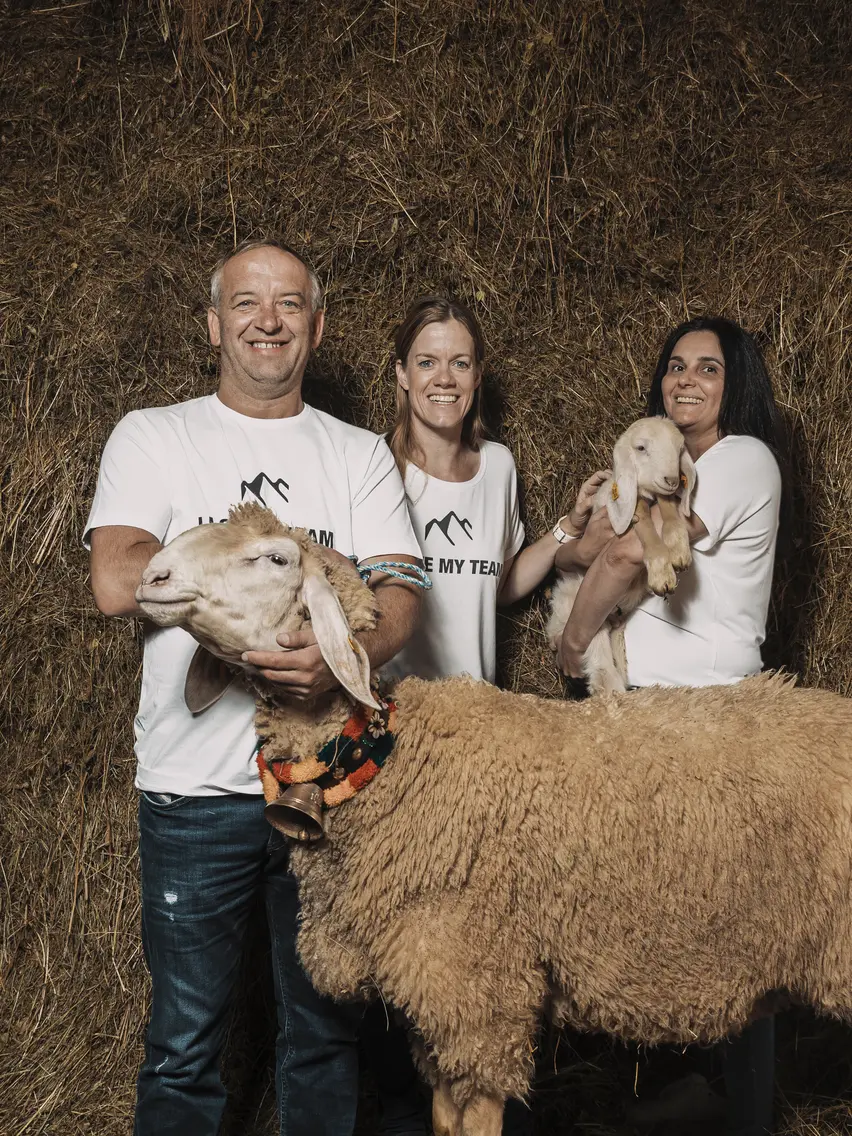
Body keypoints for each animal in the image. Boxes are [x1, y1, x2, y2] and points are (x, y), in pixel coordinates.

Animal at [135, 504, 852, 1136]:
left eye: (276, 557)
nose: (153, 577)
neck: (392, 763)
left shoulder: (477, 991)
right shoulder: (432, 1000)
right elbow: (442, 1118)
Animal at [549, 420, 695, 690]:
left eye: (681, 448)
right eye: (640, 448)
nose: (672, 479)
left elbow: (668, 508)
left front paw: (678, 549)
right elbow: (642, 515)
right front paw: (661, 572)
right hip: (579, 608)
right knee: (601, 668)